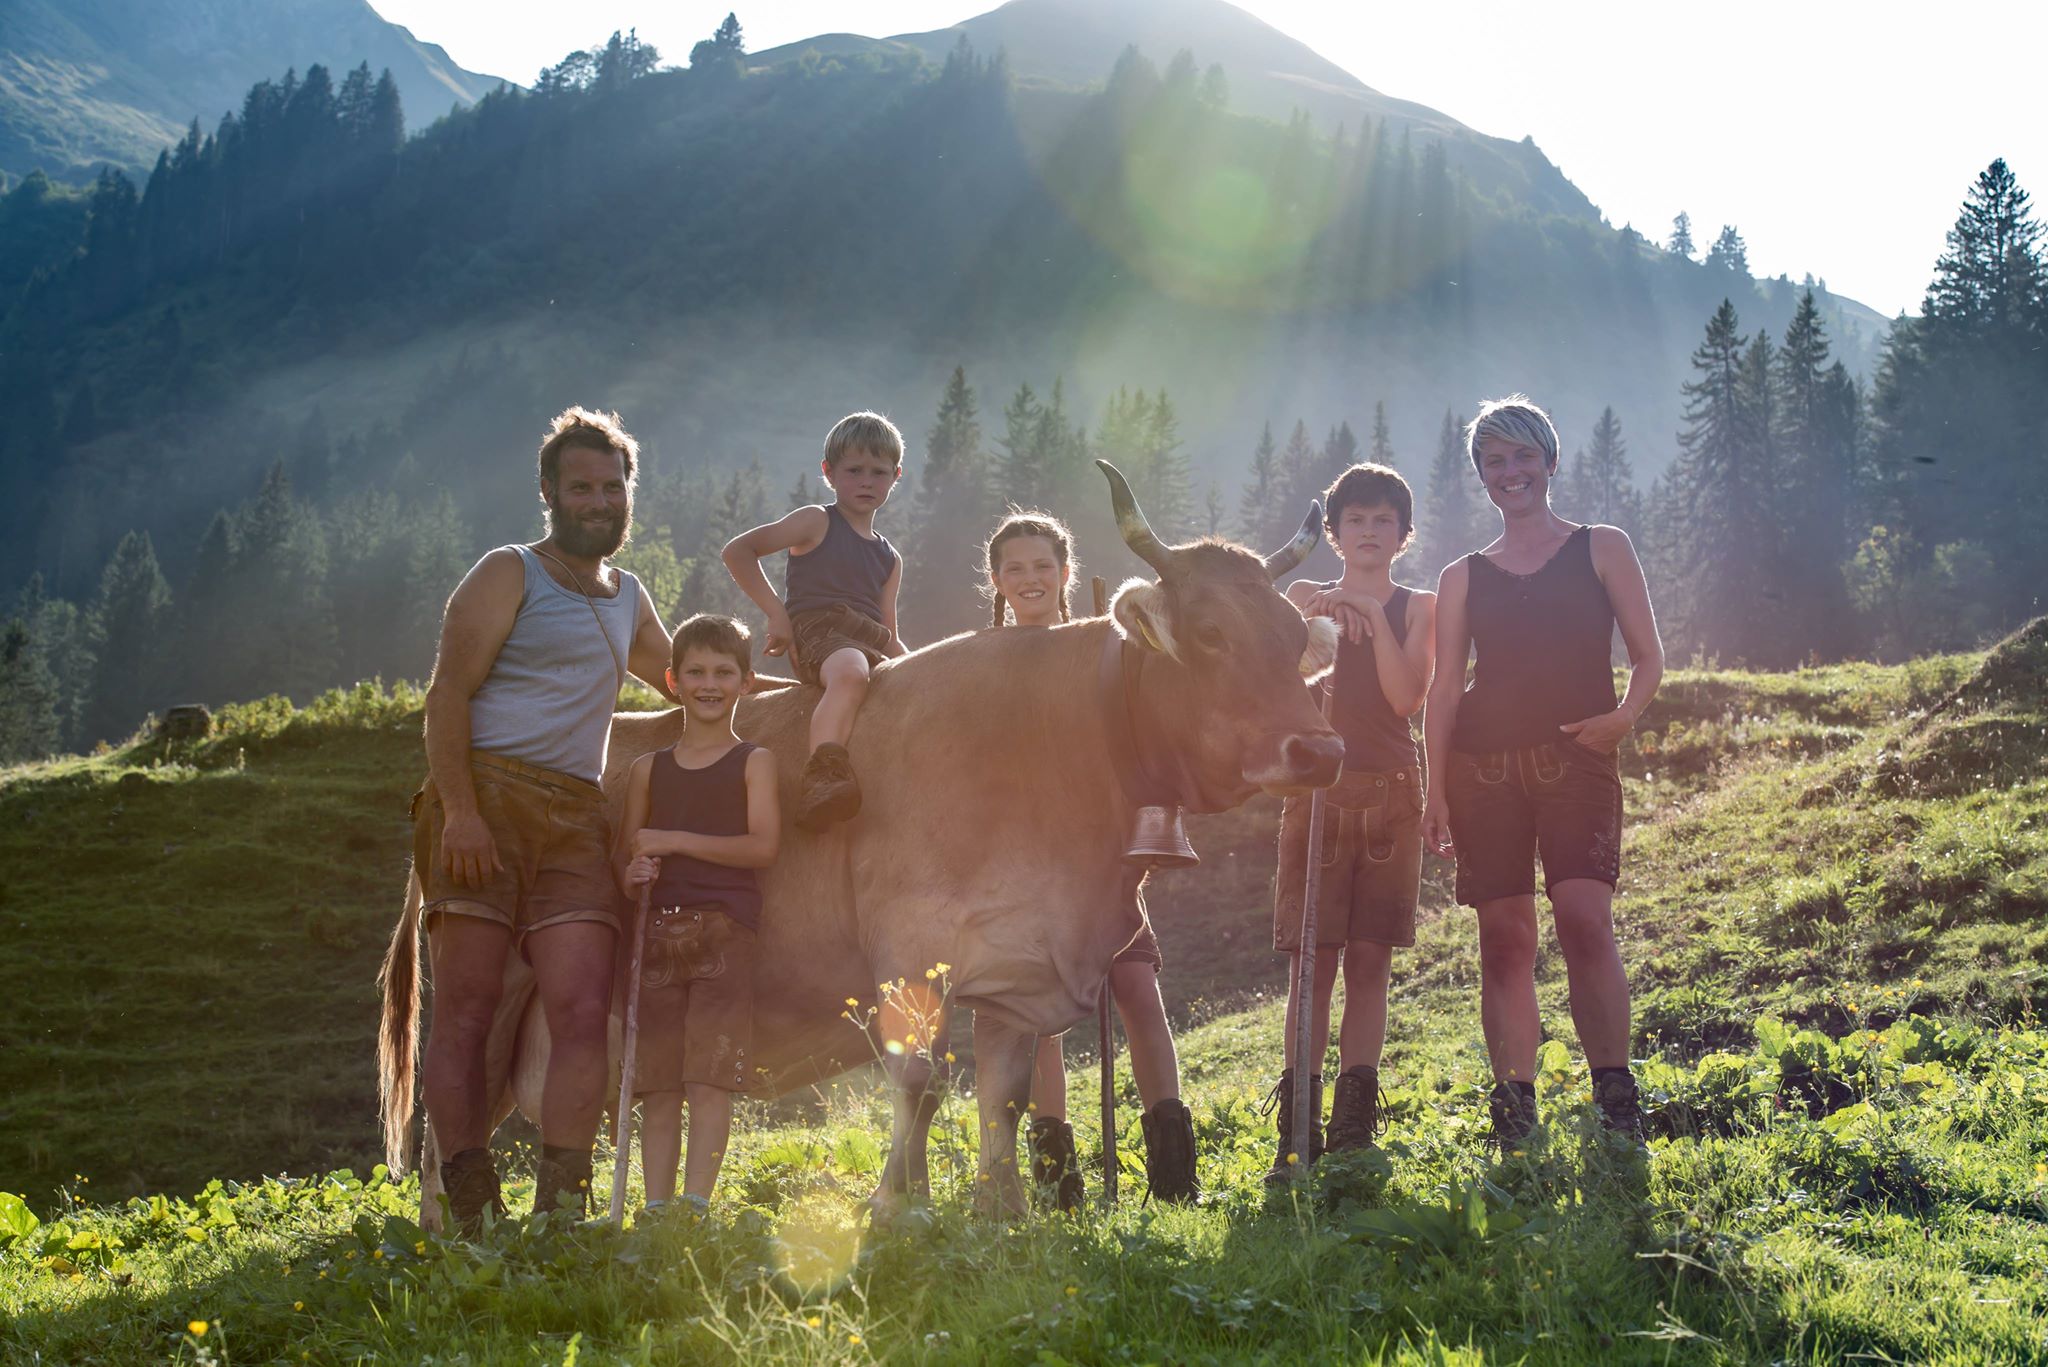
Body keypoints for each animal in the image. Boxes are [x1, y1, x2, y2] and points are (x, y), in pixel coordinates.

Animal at [378, 465, 1343, 1221]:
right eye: (1211, 634)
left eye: (1295, 638)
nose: (1320, 750)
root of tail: (439, 780)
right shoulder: (911, 949)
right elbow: (918, 1081)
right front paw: (890, 1207)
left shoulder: (1017, 966)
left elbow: (1004, 1094)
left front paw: (1002, 1210)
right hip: (490, 959)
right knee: (443, 1108)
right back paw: (456, 1232)